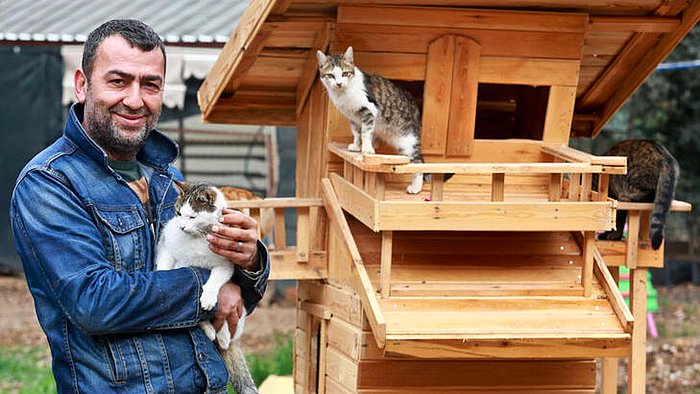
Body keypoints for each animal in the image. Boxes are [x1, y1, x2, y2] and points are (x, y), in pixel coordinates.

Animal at [154, 182, 258, 394]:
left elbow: (215, 281)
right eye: (178, 213)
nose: (182, 226)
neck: (197, 237)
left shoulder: (225, 265)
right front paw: (160, 275)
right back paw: (213, 332)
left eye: (192, 217)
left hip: (240, 313)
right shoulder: (168, 247)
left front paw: (209, 296)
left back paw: (223, 336)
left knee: (227, 330)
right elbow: (166, 264)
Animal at [318, 46, 426, 194]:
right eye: (330, 75)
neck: (343, 94)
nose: (339, 83)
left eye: (345, 73)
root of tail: (415, 106)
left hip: (408, 141)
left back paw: (416, 187)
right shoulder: (353, 117)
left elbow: (366, 132)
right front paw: (357, 146)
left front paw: (367, 149)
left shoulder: (369, 110)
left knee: (419, 162)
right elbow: (357, 133)